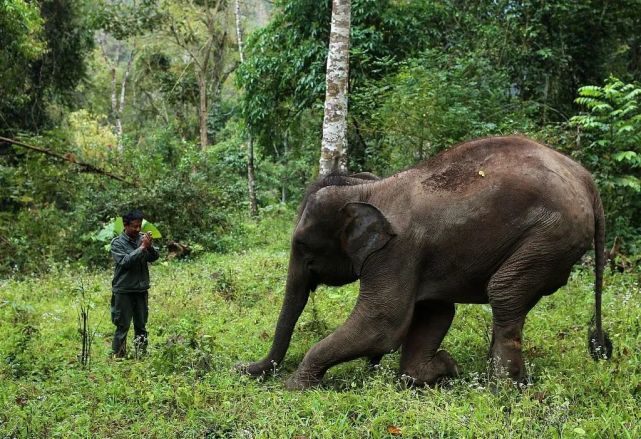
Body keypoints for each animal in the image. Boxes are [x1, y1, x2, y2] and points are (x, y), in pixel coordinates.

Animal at [239, 136, 608, 390]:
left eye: (301, 244)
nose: (241, 367)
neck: (369, 188)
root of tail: (587, 179)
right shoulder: (419, 256)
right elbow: (435, 311)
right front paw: (441, 369)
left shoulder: (395, 251)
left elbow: (382, 323)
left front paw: (293, 387)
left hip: (550, 235)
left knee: (503, 292)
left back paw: (500, 389)